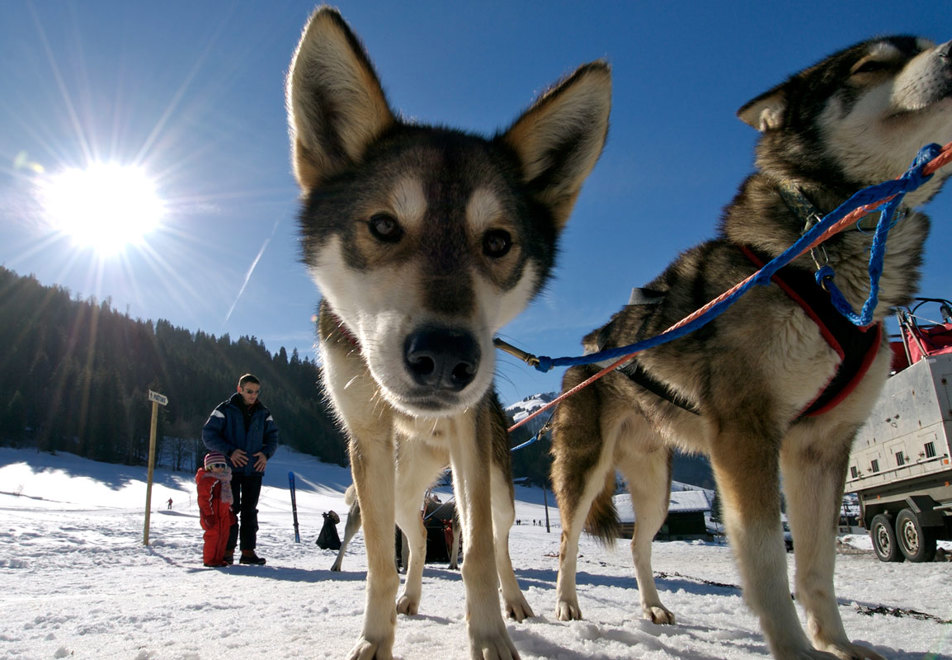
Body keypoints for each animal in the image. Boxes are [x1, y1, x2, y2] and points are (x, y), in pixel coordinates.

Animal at [284, 6, 608, 660]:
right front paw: (374, 641)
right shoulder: (367, 441)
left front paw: (491, 640)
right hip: (408, 486)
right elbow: (380, 562)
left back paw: (516, 603)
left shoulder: (470, 446)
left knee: (497, 541)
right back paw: (410, 599)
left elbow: (477, 552)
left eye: (498, 242)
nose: (445, 356)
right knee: (411, 537)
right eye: (384, 226)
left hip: (493, 482)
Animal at [552, 37, 952, 660]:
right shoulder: (746, 434)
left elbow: (816, 565)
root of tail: (589, 349)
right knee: (570, 538)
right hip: (587, 467)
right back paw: (567, 605)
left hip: (656, 484)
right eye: (872, 64)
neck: (819, 251)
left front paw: (836, 643)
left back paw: (654, 607)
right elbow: (765, 560)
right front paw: (794, 648)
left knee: (641, 544)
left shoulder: (820, 448)